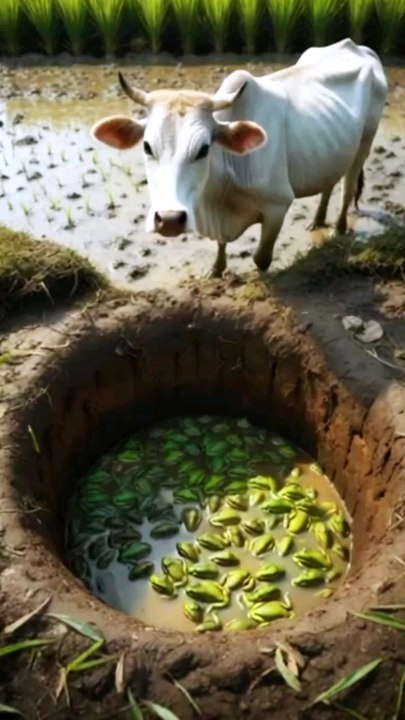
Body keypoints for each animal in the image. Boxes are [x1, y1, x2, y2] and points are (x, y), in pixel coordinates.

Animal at [92, 39, 388, 278]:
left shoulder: (278, 206)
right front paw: (216, 270)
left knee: (348, 186)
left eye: (203, 149)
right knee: (329, 180)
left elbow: (261, 258)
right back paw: (318, 220)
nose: (169, 219)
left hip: (366, 141)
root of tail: (357, 47)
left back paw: (338, 229)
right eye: (147, 147)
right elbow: (221, 245)